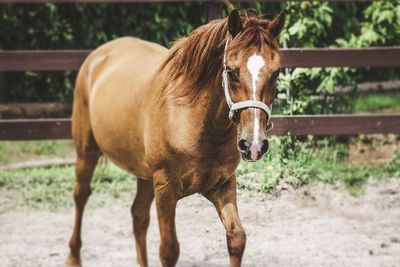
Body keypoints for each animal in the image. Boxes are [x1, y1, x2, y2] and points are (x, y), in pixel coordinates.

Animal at [65, 8, 284, 267]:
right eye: (231, 72)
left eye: (276, 74)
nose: (253, 145)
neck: (193, 119)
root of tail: (97, 57)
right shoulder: (166, 189)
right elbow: (169, 250)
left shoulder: (222, 185)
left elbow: (237, 238)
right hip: (86, 153)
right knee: (80, 197)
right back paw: (73, 256)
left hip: (144, 174)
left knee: (138, 216)